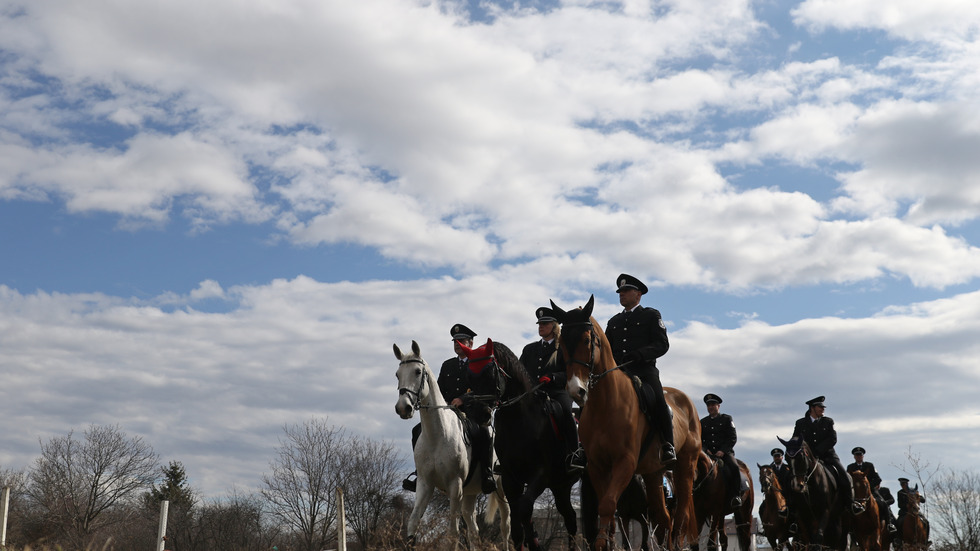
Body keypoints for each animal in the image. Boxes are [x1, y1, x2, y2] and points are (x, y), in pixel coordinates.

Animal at [392, 342, 510, 548]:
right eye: (398, 374)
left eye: (417, 371)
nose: (403, 408)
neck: (437, 436)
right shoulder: (425, 484)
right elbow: (413, 524)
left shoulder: (455, 486)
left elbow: (452, 534)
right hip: (470, 493)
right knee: (473, 529)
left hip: (501, 488)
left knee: (505, 525)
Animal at [482, 340, 580, 551]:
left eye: (490, 373)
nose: (481, 411)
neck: (519, 419)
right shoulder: (511, 478)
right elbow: (518, 519)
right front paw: (528, 540)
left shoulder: (540, 474)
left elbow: (525, 508)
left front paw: (534, 542)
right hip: (561, 486)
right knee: (570, 517)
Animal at [548, 298, 700, 551]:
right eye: (561, 344)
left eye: (587, 340)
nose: (576, 390)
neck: (606, 403)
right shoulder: (597, 466)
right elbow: (607, 513)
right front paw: (603, 542)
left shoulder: (625, 462)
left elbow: (609, 504)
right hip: (654, 472)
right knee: (662, 518)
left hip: (685, 467)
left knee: (679, 517)